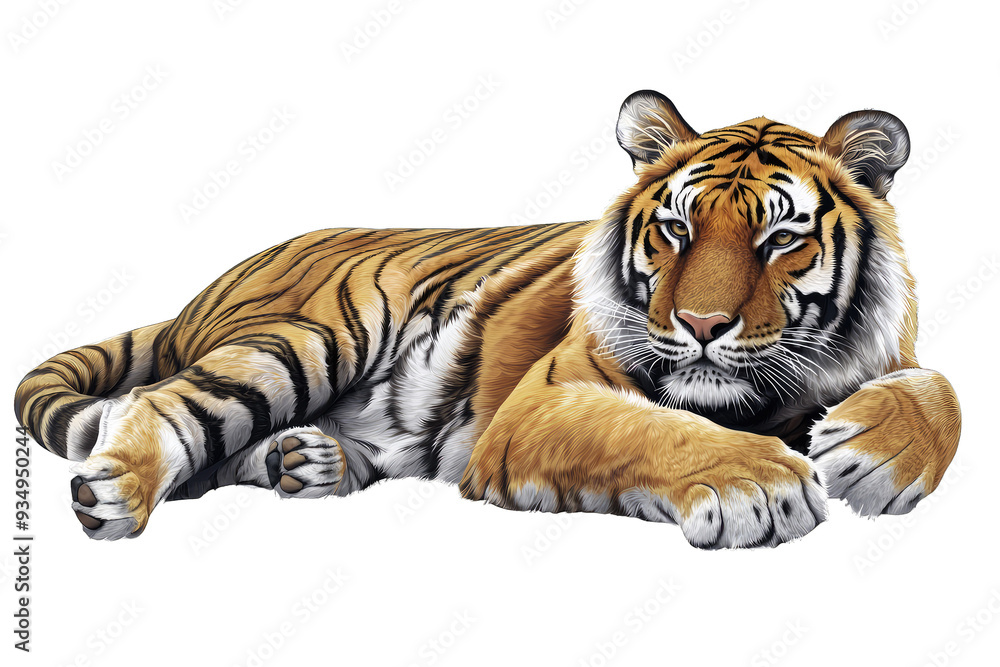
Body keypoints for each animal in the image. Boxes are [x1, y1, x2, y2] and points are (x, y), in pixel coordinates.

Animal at [14, 90, 961, 549]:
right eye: (678, 229)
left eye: (779, 239)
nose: (700, 324)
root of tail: (210, 285)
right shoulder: (546, 401)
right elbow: (653, 430)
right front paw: (757, 483)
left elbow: (943, 390)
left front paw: (876, 452)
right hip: (313, 334)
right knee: (164, 403)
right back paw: (115, 491)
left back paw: (305, 460)